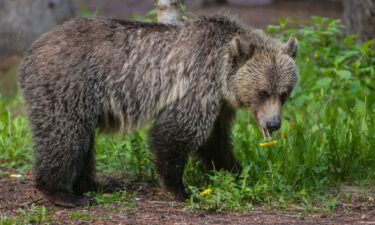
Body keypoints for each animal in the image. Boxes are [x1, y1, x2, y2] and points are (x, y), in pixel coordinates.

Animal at [18, 14, 300, 207]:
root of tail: (32, 50)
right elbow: (177, 133)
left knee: (83, 140)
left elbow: (216, 141)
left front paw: (235, 170)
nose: (273, 124)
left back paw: (93, 185)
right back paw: (63, 193)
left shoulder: (220, 106)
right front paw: (179, 189)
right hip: (69, 85)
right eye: (263, 91)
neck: (222, 77)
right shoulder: (196, 86)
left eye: (284, 93)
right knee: (64, 134)